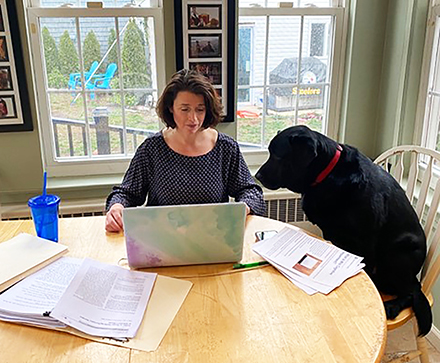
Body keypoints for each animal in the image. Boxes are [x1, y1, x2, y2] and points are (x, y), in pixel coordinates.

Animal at [256, 125, 432, 336]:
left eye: (277, 156)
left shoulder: (365, 242)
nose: (257, 176)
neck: (328, 173)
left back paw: (392, 306)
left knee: (412, 290)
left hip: (396, 254)